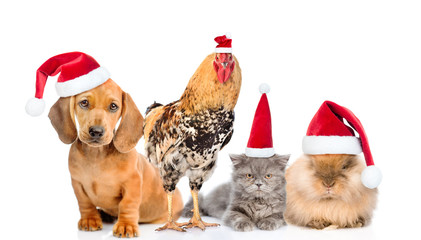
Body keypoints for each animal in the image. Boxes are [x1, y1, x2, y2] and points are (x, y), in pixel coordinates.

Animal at [48, 79, 182, 237]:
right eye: (84, 103)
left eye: (113, 106)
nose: (96, 131)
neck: (96, 156)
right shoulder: (77, 183)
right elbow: (85, 202)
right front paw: (90, 219)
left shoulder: (132, 183)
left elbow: (127, 205)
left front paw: (126, 225)